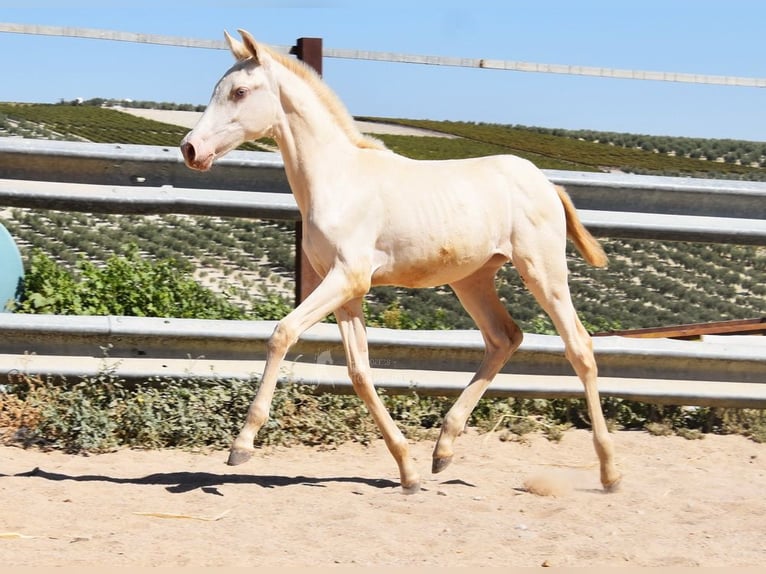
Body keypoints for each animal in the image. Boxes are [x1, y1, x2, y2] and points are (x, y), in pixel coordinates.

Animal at [182, 28, 624, 496]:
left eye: (239, 92)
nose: (190, 149)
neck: (338, 180)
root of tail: (545, 182)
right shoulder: (344, 292)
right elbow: (359, 371)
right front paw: (406, 469)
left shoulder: (348, 278)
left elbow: (282, 334)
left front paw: (241, 445)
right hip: (472, 280)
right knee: (505, 337)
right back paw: (442, 450)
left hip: (542, 269)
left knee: (579, 346)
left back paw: (609, 472)